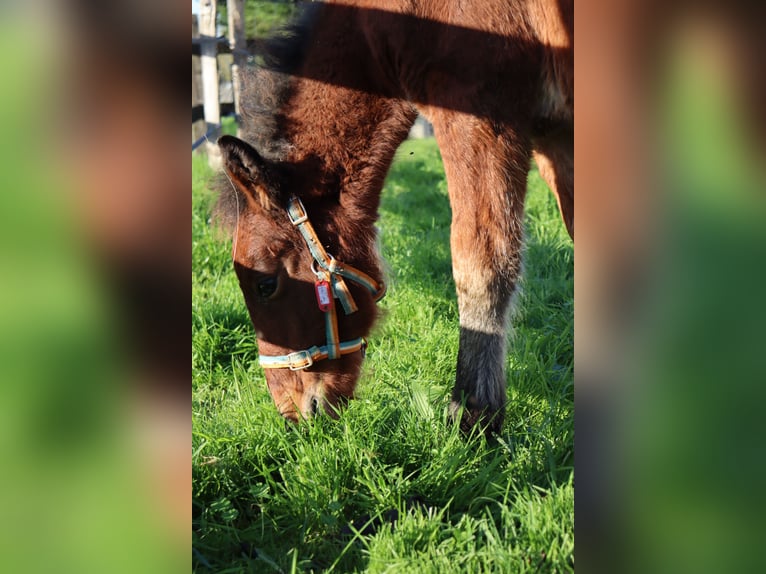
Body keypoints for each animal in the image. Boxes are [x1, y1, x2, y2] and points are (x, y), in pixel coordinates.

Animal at [214, 0, 568, 432]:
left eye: (264, 284)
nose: (293, 414)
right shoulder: (556, 136)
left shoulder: (480, 118)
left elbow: (480, 265)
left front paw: (473, 413)